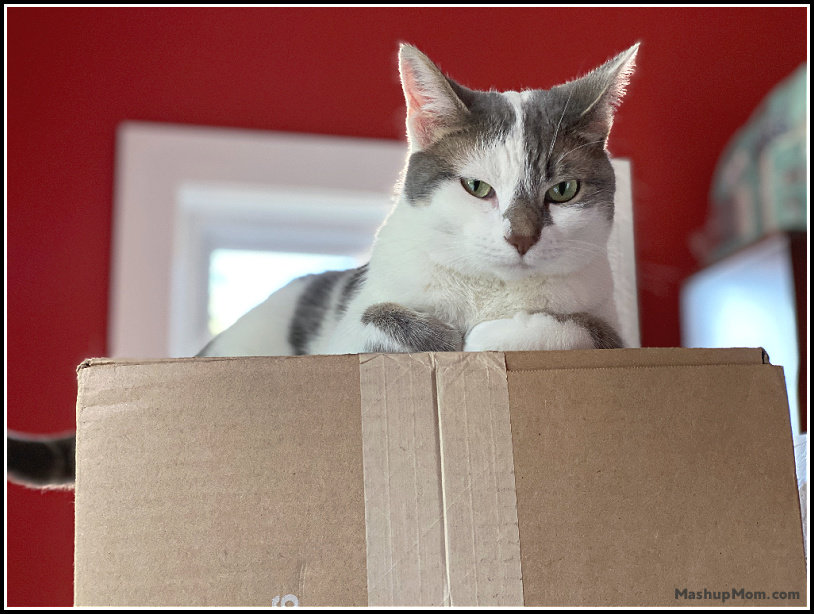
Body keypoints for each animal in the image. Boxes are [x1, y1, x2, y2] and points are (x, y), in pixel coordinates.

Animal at [9, 41, 640, 488]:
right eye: (477, 187)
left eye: (562, 190)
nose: (521, 236)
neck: (489, 290)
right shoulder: (350, 327)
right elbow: (381, 319)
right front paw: (451, 337)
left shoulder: (613, 329)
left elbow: (571, 327)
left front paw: (494, 335)